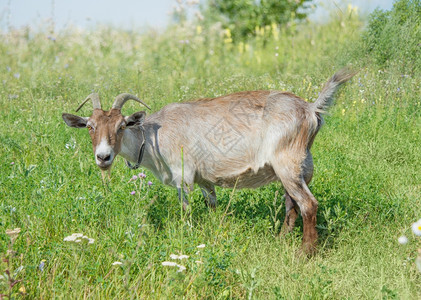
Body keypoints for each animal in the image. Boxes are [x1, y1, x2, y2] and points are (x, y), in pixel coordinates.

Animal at [60, 69, 352, 254]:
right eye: (90, 126)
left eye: (121, 126)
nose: (103, 157)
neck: (154, 136)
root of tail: (311, 109)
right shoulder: (204, 180)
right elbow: (212, 206)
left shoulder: (184, 176)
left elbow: (186, 210)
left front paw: (187, 236)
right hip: (300, 167)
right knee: (292, 205)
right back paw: (282, 241)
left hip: (287, 163)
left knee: (308, 204)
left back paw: (305, 253)